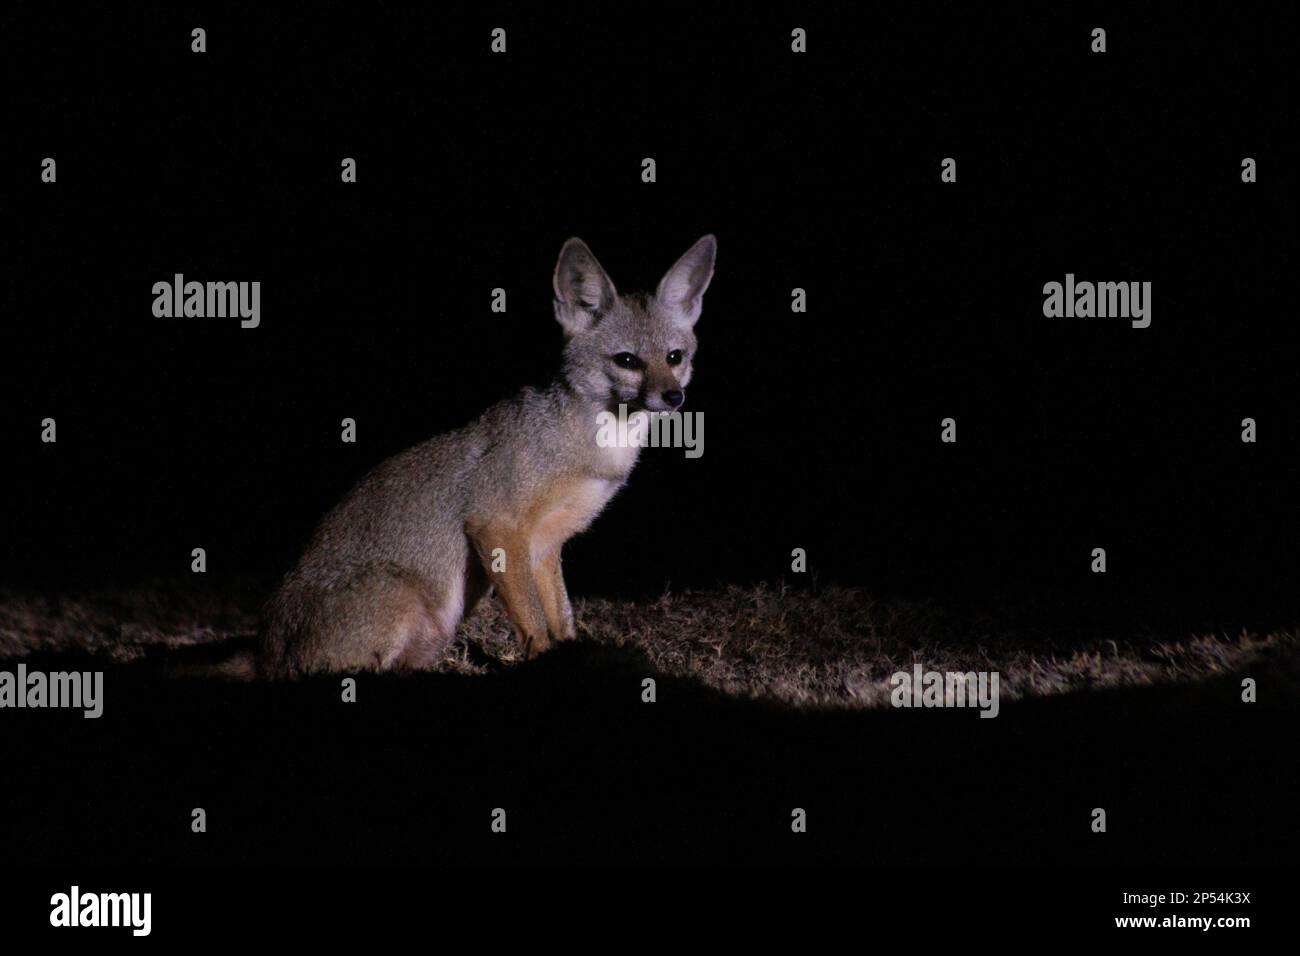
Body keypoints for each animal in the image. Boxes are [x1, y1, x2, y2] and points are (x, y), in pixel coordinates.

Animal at [257, 234, 717, 676]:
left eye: (674, 357)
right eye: (627, 360)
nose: (673, 397)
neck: (595, 445)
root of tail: (268, 647)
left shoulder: (546, 545)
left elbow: (561, 617)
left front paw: (570, 657)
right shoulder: (496, 526)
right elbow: (533, 622)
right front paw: (544, 662)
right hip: (405, 599)